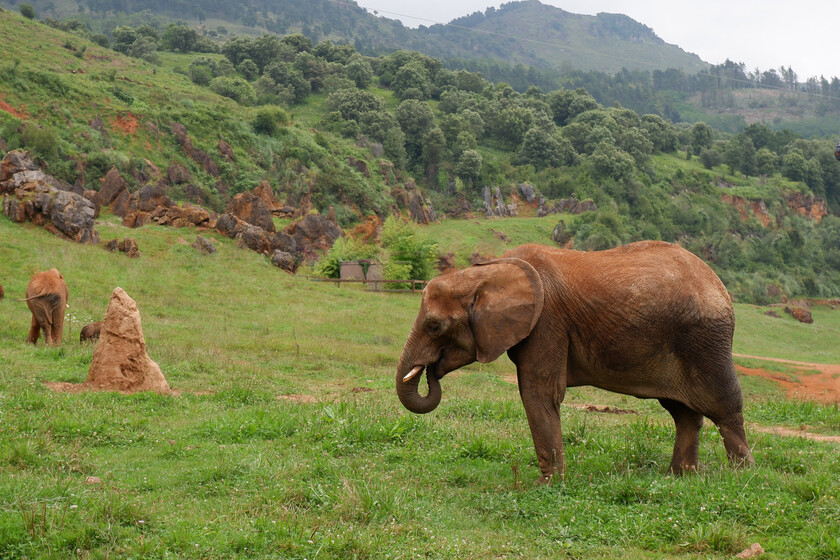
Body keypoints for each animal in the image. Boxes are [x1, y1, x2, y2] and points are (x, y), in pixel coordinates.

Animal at [396, 241, 754, 483]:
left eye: (435, 326)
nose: (431, 371)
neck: (487, 272)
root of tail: (718, 282)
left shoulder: (547, 322)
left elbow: (539, 392)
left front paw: (545, 485)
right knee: (683, 413)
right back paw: (679, 477)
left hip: (705, 339)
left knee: (723, 405)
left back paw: (741, 477)